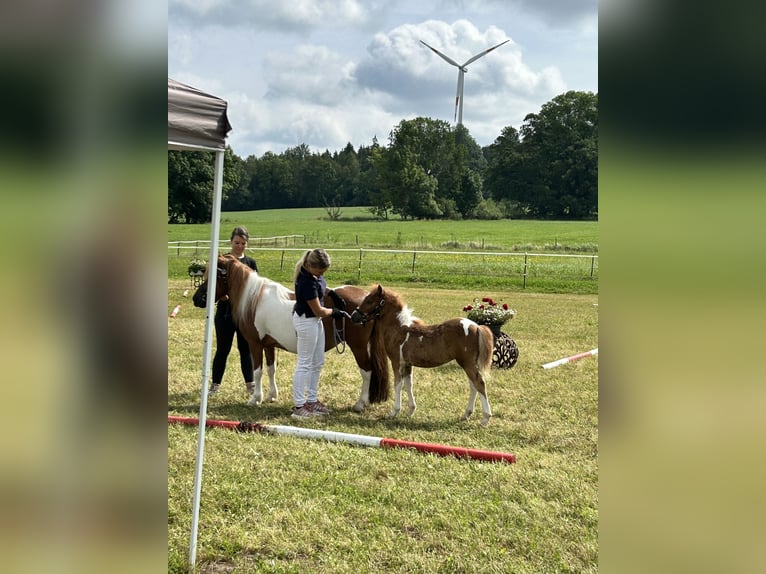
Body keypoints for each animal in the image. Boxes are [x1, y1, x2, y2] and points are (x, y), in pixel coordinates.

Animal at [192, 254, 390, 412]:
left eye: (214, 276)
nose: (197, 299)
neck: (254, 298)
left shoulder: (255, 344)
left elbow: (258, 371)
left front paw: (255, 398)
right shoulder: (268, 345)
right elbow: (271, 369)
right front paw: (272, 395)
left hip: (358, 347)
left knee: (367, 371)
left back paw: (360, 404)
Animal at [352, 284, 496, 426]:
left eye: (369, 301)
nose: (354, 316)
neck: (399, 330)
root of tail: (476, 326)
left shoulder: (396, 362)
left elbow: (398, 384)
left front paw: (394, 412)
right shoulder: (407, 364)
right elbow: (408, 384)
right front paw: (410, 411)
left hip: (467, 363)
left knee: (479, 383)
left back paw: (485, 418)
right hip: (468, 364)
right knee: (473, 385)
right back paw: (466, 415)